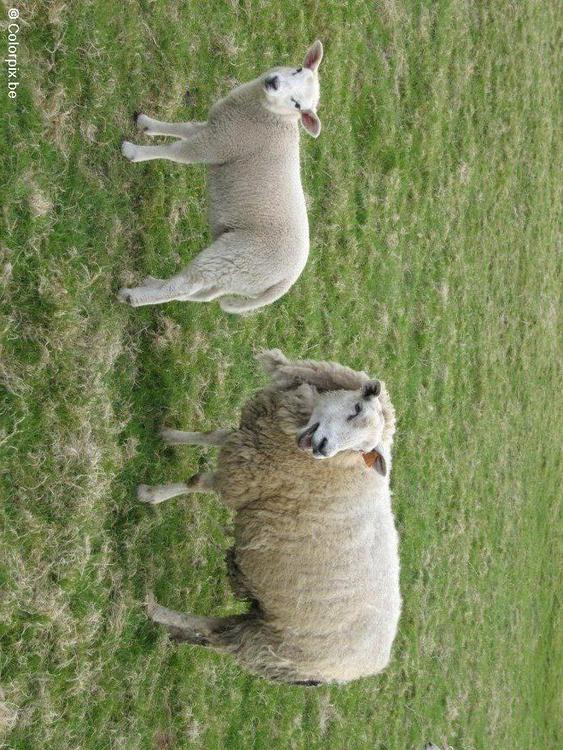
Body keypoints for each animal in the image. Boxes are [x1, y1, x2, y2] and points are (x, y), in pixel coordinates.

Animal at [117, 40, 324, 314]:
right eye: (298, 69)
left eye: (298, 105)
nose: (273, 82)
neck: (272, 117)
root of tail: (286, 282)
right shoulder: (217, 126)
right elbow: (183, 128)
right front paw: (147, 123)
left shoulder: (220, 142)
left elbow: (177, 152)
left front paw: (134, 151)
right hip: (235, 277)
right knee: (200, 294)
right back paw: (152, 283)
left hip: (235, 258)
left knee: (188, 284)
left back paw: (132, 296)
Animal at [138, 350, 400, 684]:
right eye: (356, 408)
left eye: (359, 449)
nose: (323, 448)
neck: (337, 467)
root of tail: (361, 671)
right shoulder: (254, 438)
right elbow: (212, 435)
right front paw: (168, 434)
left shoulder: (250, 478)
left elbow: (195, 482)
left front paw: (150, 494)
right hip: (266, 623)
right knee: (219, 630)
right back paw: (172, 630)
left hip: (273, 643)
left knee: (215, 631)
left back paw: (155, 609)